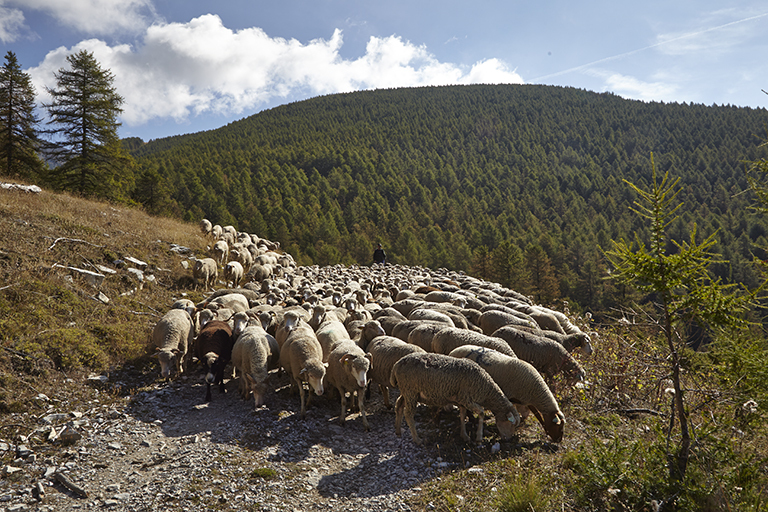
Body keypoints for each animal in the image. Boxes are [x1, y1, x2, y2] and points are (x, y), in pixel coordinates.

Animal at [390, 352, 520, 444]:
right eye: (511, 424)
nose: (508, 439)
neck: (485, 388)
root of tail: (396, 365)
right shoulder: (466, 399)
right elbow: (481, 413)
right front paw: (478, 437)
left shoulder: (462, 400)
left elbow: (462, 416)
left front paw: (464, 436)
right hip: (410, 391)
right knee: (408, 414)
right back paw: (417, 439)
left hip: (407, 392)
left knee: (398, 405)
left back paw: (397, 430)